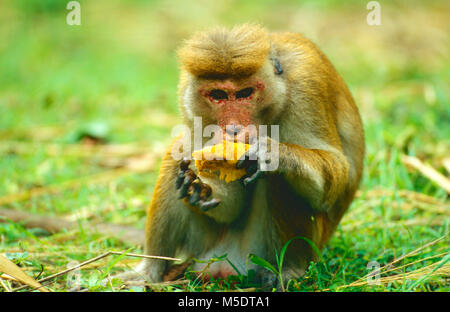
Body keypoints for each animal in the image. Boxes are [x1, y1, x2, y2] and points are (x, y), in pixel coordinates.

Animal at [113, 24, 366, 286]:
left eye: (245, 93)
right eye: (218, 95)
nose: (233, 130)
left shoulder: (306, 85)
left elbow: (337, 173)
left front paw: (276, 154)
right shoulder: (188, 101)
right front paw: (200, 189)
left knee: (280, 178)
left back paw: (288, 270)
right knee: (178, 152)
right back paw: (149, 271)